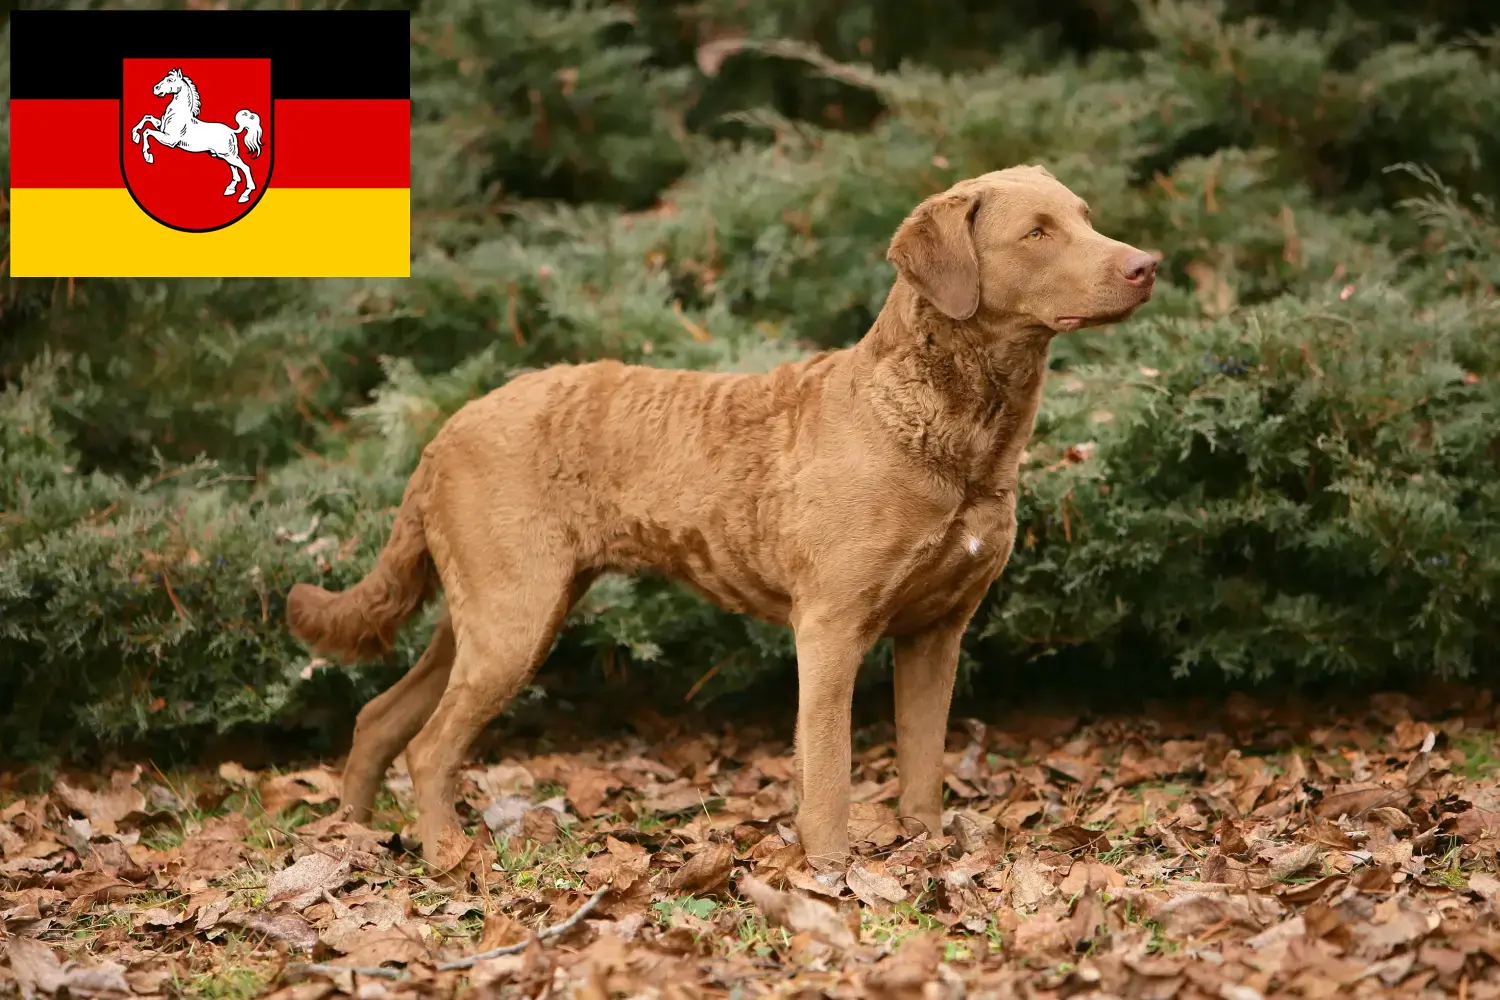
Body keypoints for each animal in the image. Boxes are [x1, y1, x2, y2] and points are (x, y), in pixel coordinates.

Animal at [292, 164, 1158, 869]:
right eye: (1037, 233)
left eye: (1086, 216)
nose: (1146, 264)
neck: (948, 432)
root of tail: (446, 429)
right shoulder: (831, 627)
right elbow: (829, 768)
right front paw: (831, 871)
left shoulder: (936, 631)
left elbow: (923, 762)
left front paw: (926, 850)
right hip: (513, 616)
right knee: (429, 744)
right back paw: (445, 854)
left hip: (492, 611)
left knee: (379, 717)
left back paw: (354, 837)